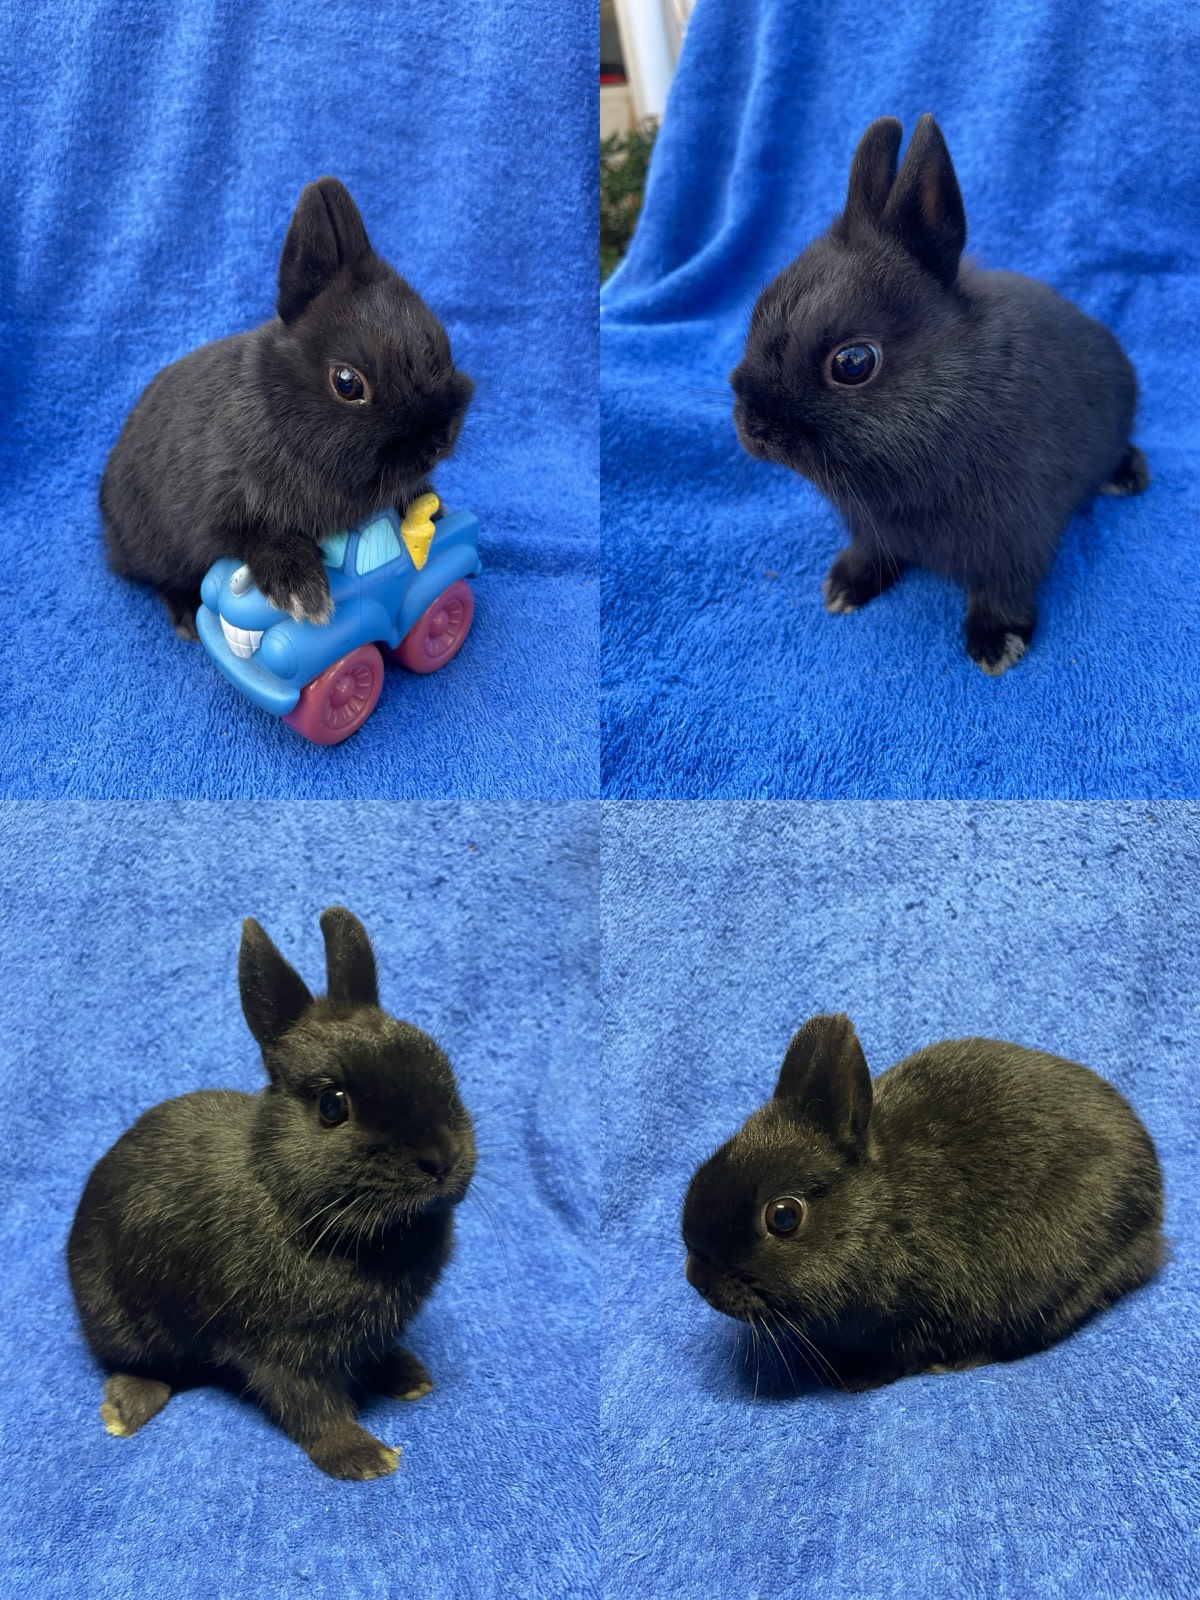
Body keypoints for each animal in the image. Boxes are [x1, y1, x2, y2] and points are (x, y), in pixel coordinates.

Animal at [67, 907, 476, 1480]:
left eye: (438, 1062)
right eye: (331, 1105)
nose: (442, 1157)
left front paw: (405, 1378)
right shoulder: (279, 1351)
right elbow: (310, 1405)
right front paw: (364, 1458)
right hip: (117, 1316)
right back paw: (127, 1408)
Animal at [101, 177, 475, 640]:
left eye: (440, 340)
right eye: (347, 383)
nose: (440, 440)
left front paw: (435, 511)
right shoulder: (225, 511)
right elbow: (255, 539)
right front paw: (302, 593)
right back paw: (187, 615)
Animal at [730, 115, 1148, 675]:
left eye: (853, 363)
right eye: (758, 311)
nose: (752, 426)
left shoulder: (1016, 539)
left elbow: (1004, 590)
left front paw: (995, 644)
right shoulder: (870, 529)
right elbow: (871, 553)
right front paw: (844, 588)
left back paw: (1127, 478)